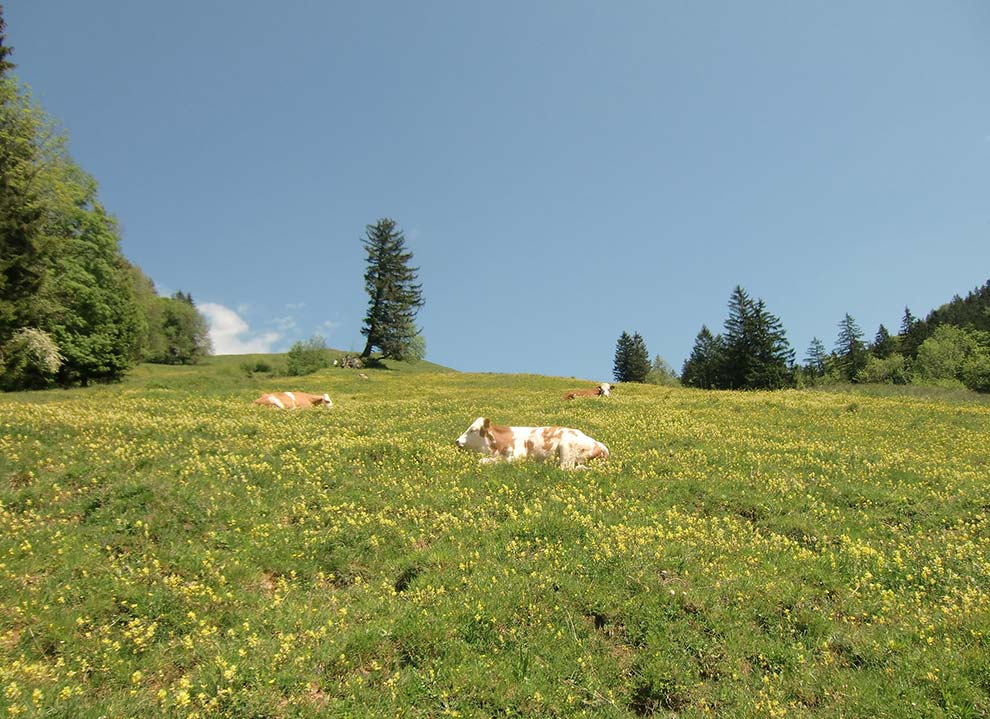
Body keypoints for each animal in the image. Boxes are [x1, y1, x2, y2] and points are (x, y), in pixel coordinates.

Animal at [460, 416, 612, 472]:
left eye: (473, 430)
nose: (457, 441)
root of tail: (601, 445)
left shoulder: (518, 456)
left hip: (566, 447)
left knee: (566, 468)